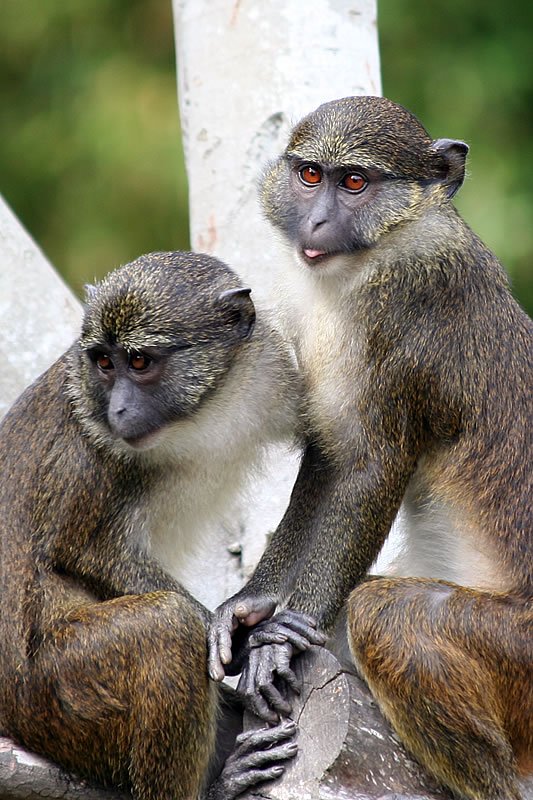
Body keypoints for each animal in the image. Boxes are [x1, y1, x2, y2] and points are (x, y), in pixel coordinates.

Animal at [0, 250, 318, 800]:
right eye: (105, 363)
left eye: (140, 362)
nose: (118, 408)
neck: (198, 417)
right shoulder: (86, 446)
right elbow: (80, 549)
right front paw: (236, 635)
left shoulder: (270, 372)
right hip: (52, 701)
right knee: (167, 626)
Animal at [208, 96, 533, 800]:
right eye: (310, 175)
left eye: (355, 182)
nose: (318, 220)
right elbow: (329, 460)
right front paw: (252, 608)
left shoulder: (404, 320)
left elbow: (372, 468)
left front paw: (286, 635)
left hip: (521, 653)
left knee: (392, 616)